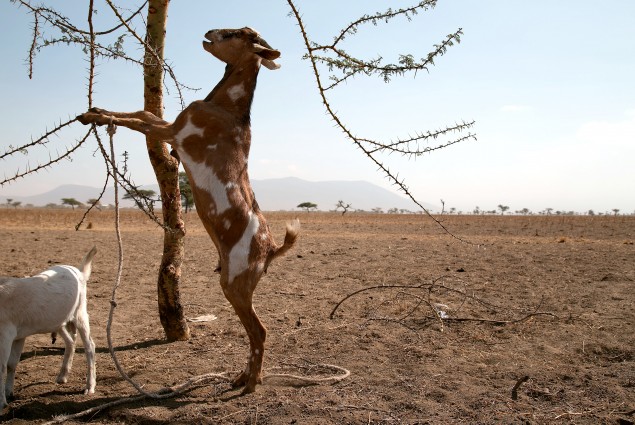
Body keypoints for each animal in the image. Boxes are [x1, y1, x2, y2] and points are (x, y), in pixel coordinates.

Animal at [0, 245, 97, 408]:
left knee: (90, 346)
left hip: (80, 313)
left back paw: (89, 386)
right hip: (59, 320)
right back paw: (62, 376)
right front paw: (9, 393)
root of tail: (79, 272)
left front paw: (2, 402)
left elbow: (2, 366)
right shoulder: (19, 335)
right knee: (70, 341)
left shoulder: (6, 333)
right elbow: (11, 364)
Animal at [77, 27, 300, 394]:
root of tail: (271, 248)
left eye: (240, 33)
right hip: (239, 285)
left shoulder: (175, 132)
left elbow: (139, 122)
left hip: (235, 284)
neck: (226, 108)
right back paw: (243, 377)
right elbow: (142, 114)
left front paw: (94, 116)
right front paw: (92, 110)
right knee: (256, 332)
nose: (209, 32)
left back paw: (250, 384)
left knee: (260, 331)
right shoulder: (171, 125)